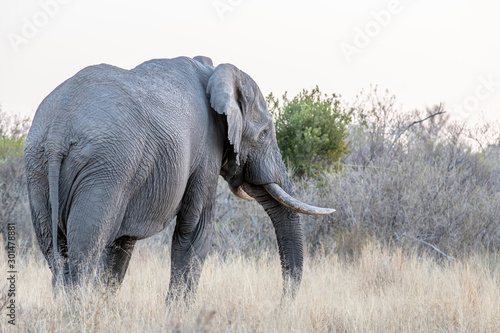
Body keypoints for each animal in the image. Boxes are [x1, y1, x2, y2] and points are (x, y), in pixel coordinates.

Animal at [24, 55, 336, 300]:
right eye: (264, 134)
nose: (281, 305)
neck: (212, 71)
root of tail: (58, 131)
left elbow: (121, 246)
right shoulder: (205, 151)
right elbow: (196, 229)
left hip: (39, 170)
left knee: (57, 257)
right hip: (104, 170)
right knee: (83, 256)